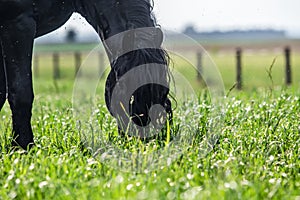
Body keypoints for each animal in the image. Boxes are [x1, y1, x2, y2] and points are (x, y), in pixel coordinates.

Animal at [0, 0, 172, 150]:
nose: (143, 139)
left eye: (163, 90)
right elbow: (21, 94)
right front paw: (22, 146)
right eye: (124, 85)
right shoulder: (17, 24)